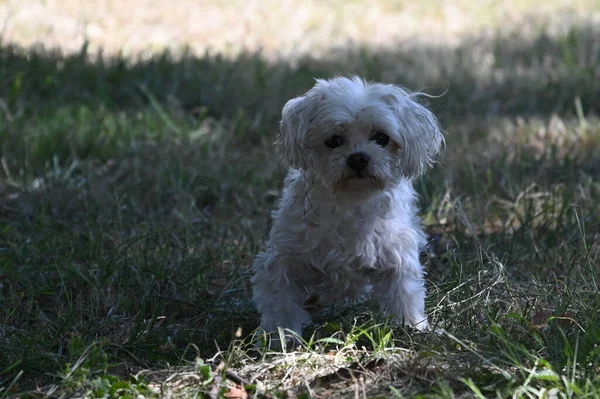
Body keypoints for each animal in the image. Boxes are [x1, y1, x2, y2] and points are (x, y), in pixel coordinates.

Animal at [251, 76, 442, 346]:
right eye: (333, 141)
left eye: (382, 138)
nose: (358, 158)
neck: (351, 200)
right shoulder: (284, 258)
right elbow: (280, 301)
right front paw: (280, 338)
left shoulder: (396, 254)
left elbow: (404, 293)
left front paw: (412, 326)